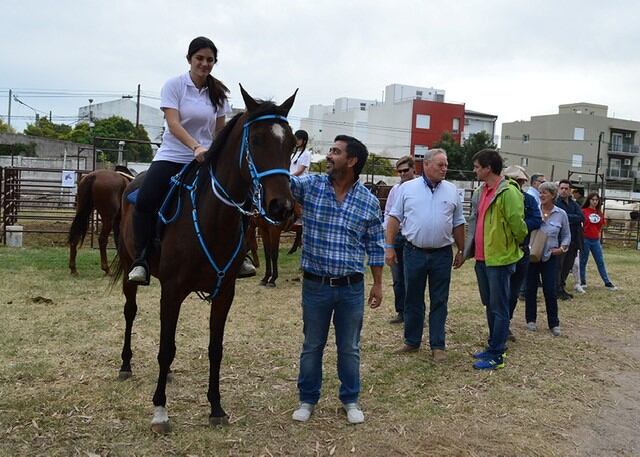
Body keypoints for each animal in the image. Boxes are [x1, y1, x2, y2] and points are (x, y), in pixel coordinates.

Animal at [112, 87, 298, 432]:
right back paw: (125, 364)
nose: (281, 206)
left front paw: (216, 407)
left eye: (292, 144)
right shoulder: (172, 291)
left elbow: (214, 349)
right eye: (256, 140)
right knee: (130, 312)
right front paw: (160, 410)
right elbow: (166, 349)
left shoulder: (224, 293)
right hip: (131, 265)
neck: (213, 217)